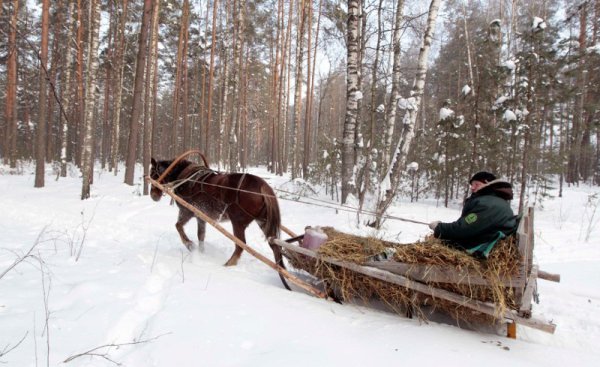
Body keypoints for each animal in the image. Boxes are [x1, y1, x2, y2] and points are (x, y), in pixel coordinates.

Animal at [151, 157, 290, 278]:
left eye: (153, 174)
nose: (153, 195)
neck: (184, 178)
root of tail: (263, 186)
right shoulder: (200, 217)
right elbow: (201, 235)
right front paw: (201, 253)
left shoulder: (187, 211)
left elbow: (178, 226)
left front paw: (189, 244)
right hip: (263, 221)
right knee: (275, 245)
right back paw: (282, 271)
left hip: (238, 222)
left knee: (241, 245)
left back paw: (228, 264)